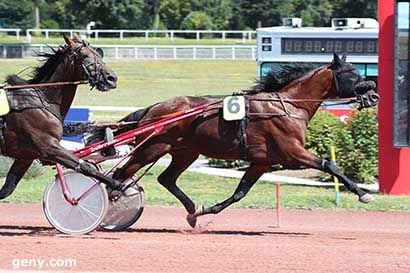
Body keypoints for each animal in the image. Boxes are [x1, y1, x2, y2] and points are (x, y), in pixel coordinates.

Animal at [0, 34, 123, 200]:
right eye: (85, 56)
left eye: (99, 53)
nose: (112, 78)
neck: (42, 101)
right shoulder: (49, 147)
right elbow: (86, 166)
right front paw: (118, 184)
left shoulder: (25, 157)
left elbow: (7, 189)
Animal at [89, 53, 378, 227]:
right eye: (352, 74)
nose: (373, 95)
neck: (288, 105)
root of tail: (155, 107)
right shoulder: (293, 152)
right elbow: (330, 165)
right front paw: (363, 194)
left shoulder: (262, 162)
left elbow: (240, 193)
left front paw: (205, 211)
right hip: (153, 147)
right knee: (123, 174)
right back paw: (110, 203)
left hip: (186, 152)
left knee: (166, 178)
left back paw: (192, 210)